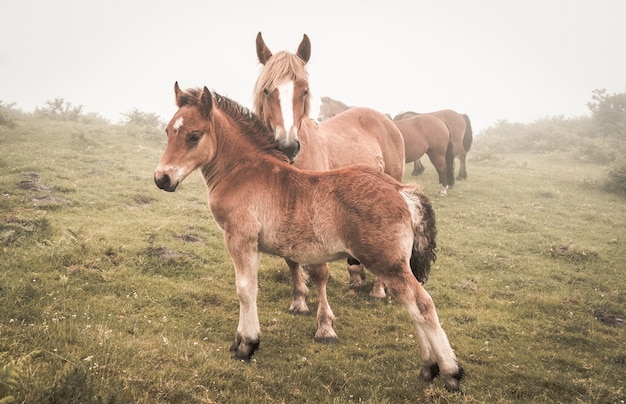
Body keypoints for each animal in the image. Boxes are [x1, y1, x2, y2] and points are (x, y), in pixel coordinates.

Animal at [152, 83, 464, 392]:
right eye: (167, 131)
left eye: (194, 136)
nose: (162, 179)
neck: (244, 171)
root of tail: (401, 190)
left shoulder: (241, 239)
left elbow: (245, 289)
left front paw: (246, 345)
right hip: (396, 265)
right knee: (412, 307)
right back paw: (428, 368)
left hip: (387, 263)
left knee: (422, 305)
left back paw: (451, 371)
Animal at [252, 33, 404, 302]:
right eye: (267, 90)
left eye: (305, 91)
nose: (288, 147)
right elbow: (291, 260)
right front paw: (299, 299)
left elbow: (316, 269)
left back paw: (378, 290)